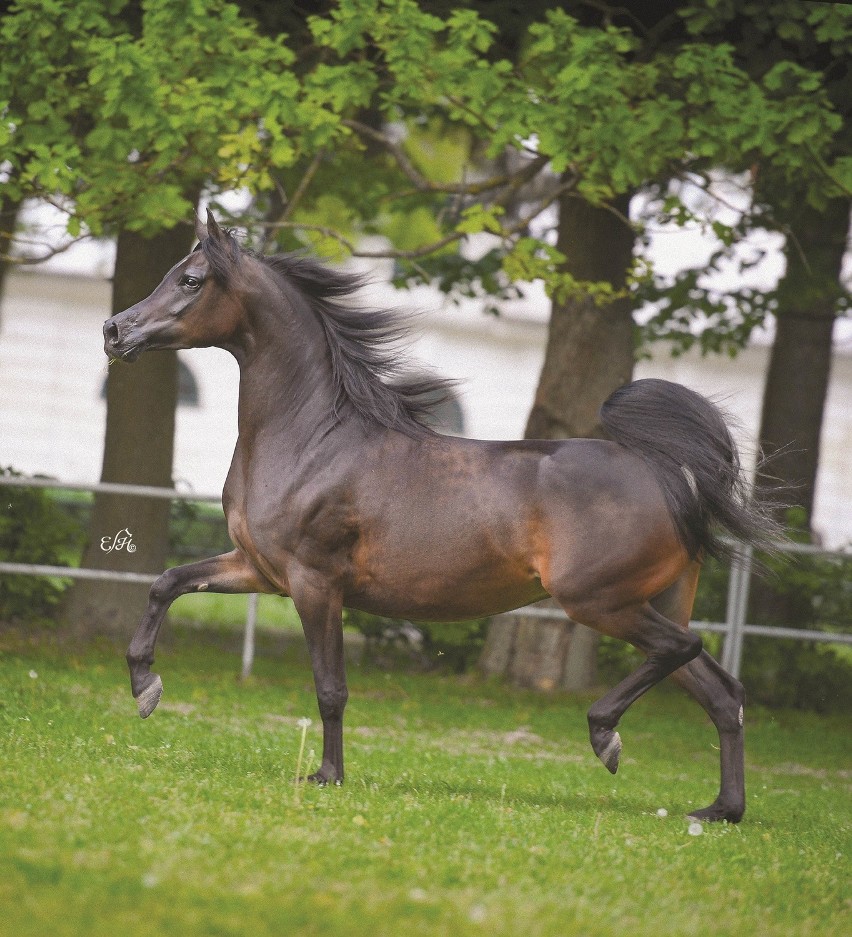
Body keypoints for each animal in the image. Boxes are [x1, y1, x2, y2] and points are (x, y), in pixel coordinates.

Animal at [103, 210, 776, 820]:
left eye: (191, 279)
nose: (114, 330)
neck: (312, 438)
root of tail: (665, 474)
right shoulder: (258, 569)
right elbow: (167, 582)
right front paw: (145, 689)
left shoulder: (314, 583)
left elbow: (330, 688)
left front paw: (327, 776)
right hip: (650, 602)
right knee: (723, 692)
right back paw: (720, 810)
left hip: (600, 601)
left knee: (684, 650)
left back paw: (606, 737)